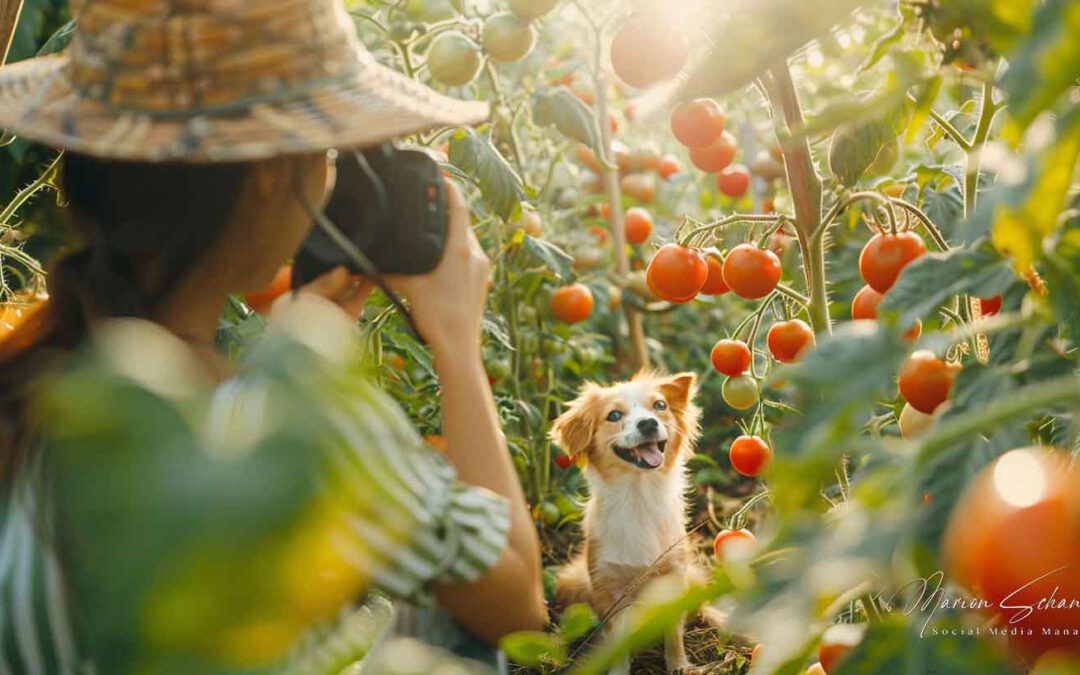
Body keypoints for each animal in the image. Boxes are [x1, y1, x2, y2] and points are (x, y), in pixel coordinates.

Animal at [552, 371, 712, 669]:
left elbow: (674, 632)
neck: (638, 495)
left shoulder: (674, 575)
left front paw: (679, 665)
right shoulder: (607, 587)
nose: (648, 423)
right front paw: (617, 670)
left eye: (660, 405)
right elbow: (618, 642)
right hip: (570, 582)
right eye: (613, 415)